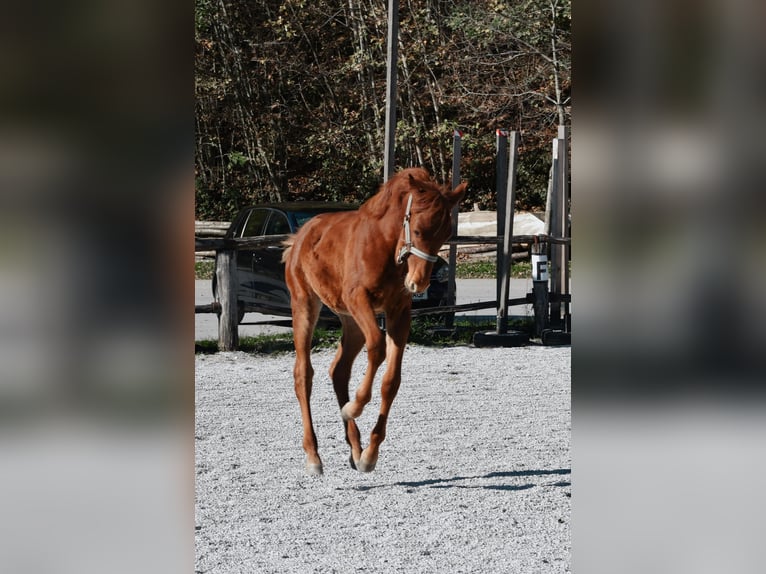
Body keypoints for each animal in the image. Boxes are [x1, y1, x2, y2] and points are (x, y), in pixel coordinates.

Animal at [280, 168, 464, 476]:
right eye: (417, 230)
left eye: (446, 234)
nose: (418, 282)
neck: (388, 247)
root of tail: (300, 237)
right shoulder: (359, 299)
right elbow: (377, 347)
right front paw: (354, 407)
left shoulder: (398, 310)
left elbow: (391, 381)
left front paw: (370, 454)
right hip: (306, 304)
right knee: (303, 374)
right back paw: (313, 455)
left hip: (350, 321)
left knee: (339, 370)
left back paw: (355, 449)